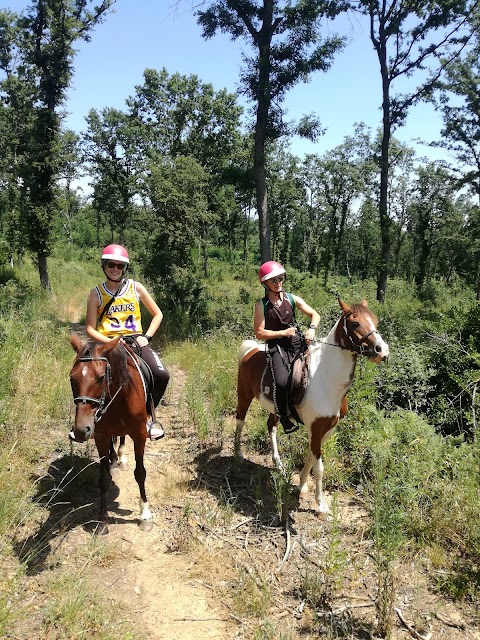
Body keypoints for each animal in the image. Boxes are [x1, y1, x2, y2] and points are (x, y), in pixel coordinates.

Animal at [68, 336, 152, 536]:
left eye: (100, 378)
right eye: (72, 378)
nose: (81, 430)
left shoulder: (139, 435)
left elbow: (140, 473)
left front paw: (145, 515)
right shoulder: (101, 436)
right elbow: (104, 478)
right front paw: (102, 520)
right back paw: (115, 458)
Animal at [236, 298, 390, 516]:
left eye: (375, 321)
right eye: (354, 323)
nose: (382, 350)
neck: (327, 379)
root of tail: (250, 349)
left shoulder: (327, 429)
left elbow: (310, 457)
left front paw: (301, 486)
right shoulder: (316, 428)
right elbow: (319, 467)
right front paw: (321, 504)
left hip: (276, 408)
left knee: (271, 426)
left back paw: (278, 463)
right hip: (244, 395)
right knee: (240, 421)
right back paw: (238, 455)